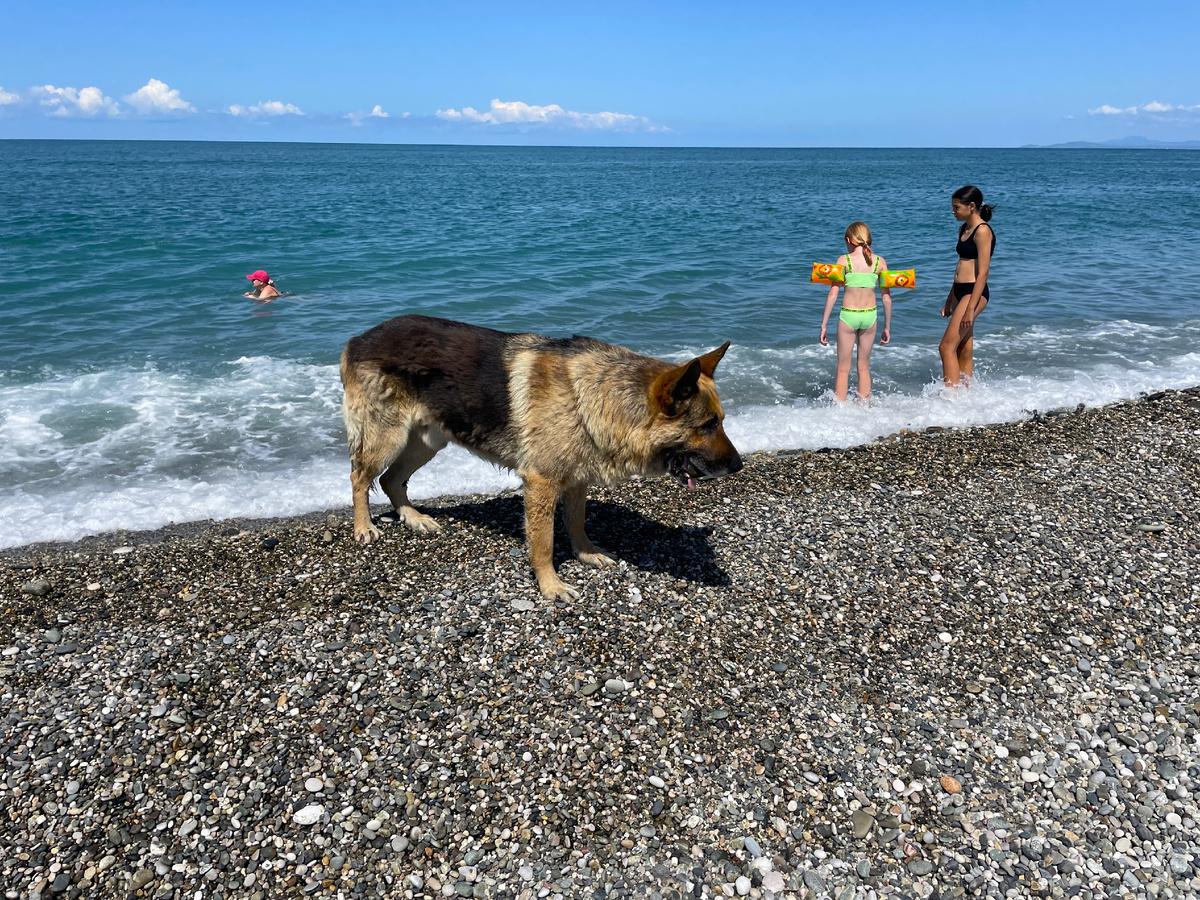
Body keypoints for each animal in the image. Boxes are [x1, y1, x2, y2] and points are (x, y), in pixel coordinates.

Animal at [338, 314, 744, 600]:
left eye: (721, 421)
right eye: (708, 425)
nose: (739, 466)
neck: (595, 397)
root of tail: (359, 338)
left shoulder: (577, 479)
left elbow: (577, 522)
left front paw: (585, 554)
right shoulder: (541, 483)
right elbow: (544, 540)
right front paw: (550, 585)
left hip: (428, 440)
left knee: (391, 479)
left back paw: (412, 518)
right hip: (387, 436)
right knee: (360, 477)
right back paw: (363, 526)